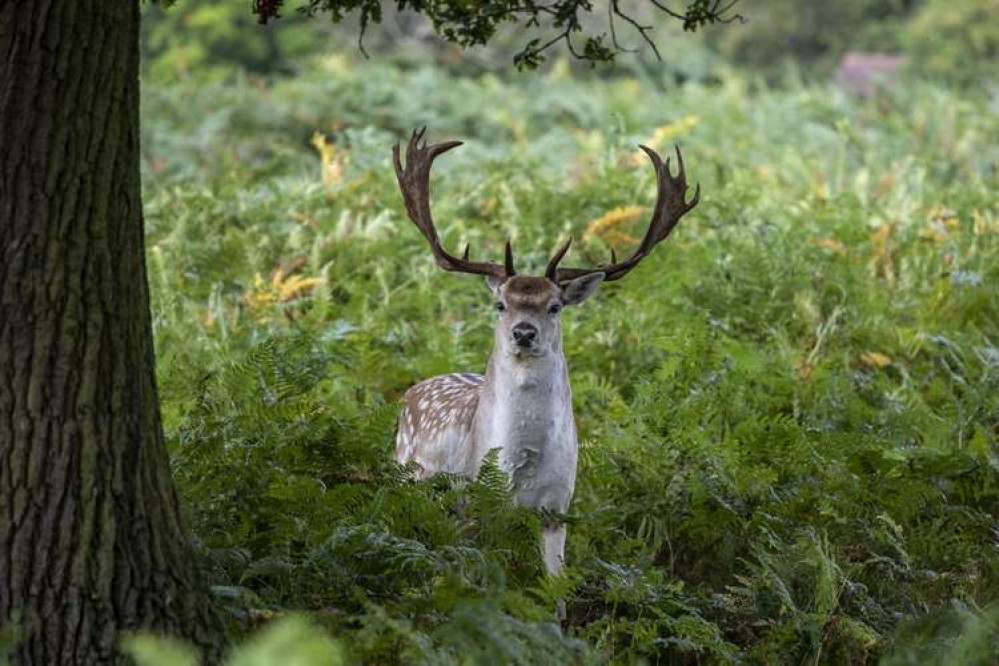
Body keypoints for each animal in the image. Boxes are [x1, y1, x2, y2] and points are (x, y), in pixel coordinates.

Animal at [394, 126, 700, 596]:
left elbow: (557, 594)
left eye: (555, 306)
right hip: (408, 472)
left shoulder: (557, 507)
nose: (524, 332)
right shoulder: (473, 500)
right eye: (501, 304)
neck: (521, 470)